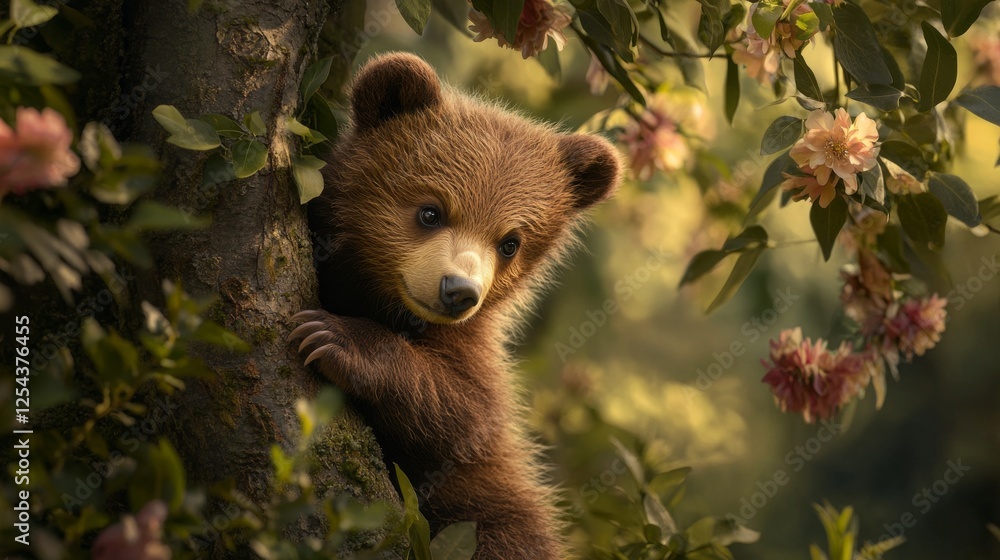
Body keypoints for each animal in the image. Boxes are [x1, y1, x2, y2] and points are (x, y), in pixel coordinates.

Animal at [289, 52, 621, 559]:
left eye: (510, 242)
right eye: (431, 211)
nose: (458, 290)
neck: (377, 298)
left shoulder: (472, 352)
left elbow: (466, 414)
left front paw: (336, 338)